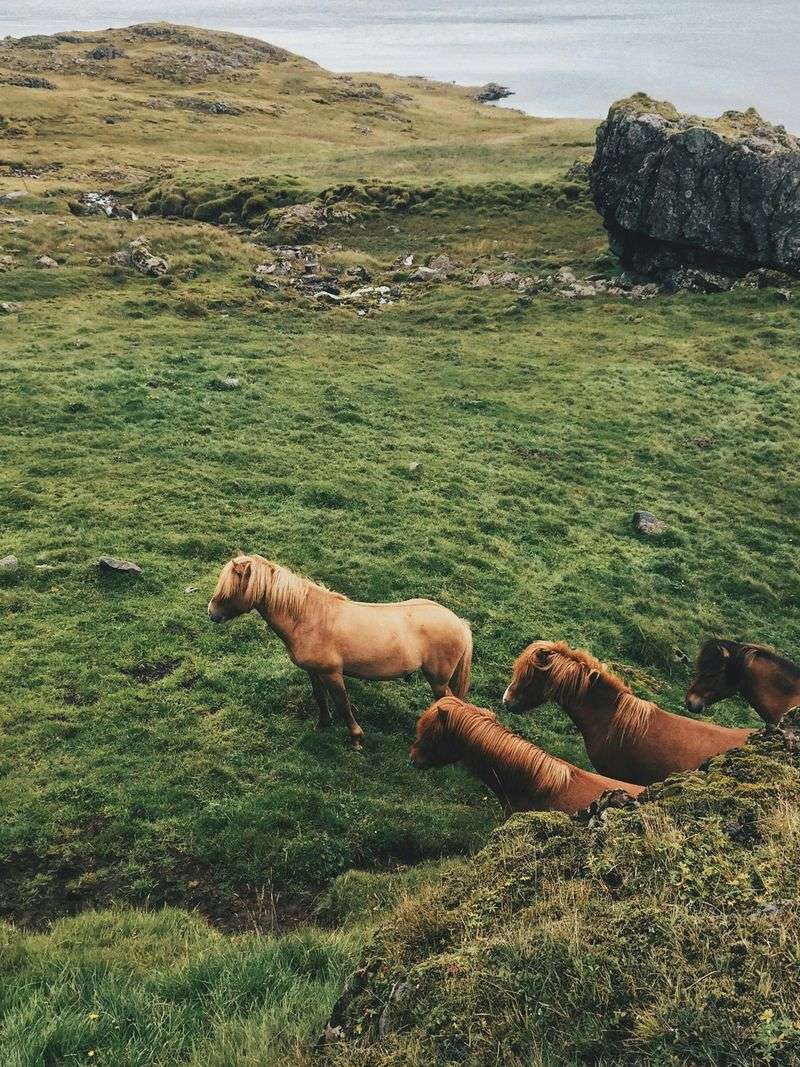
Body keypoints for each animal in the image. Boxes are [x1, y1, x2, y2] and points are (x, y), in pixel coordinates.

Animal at [206, 559, 473, 751]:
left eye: (230, 589)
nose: (211, 613)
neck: (310, 618)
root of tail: (459, 623)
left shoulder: (332, 674)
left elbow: (342, 703)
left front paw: (356, 739)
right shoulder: (314, 672)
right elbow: (320, 697)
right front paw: (323, 724)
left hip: (437, 680)